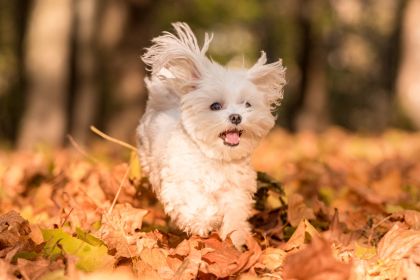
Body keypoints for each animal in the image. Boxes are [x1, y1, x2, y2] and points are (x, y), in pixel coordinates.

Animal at [138, 23, 286, 248]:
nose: (236, 117)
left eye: (247, 104)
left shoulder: (235, 190)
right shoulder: (181, 184)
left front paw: (235, 237)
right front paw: (208, 220)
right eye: (215, 106)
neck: (216, 156)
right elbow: (197, 204)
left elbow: (234, 214)